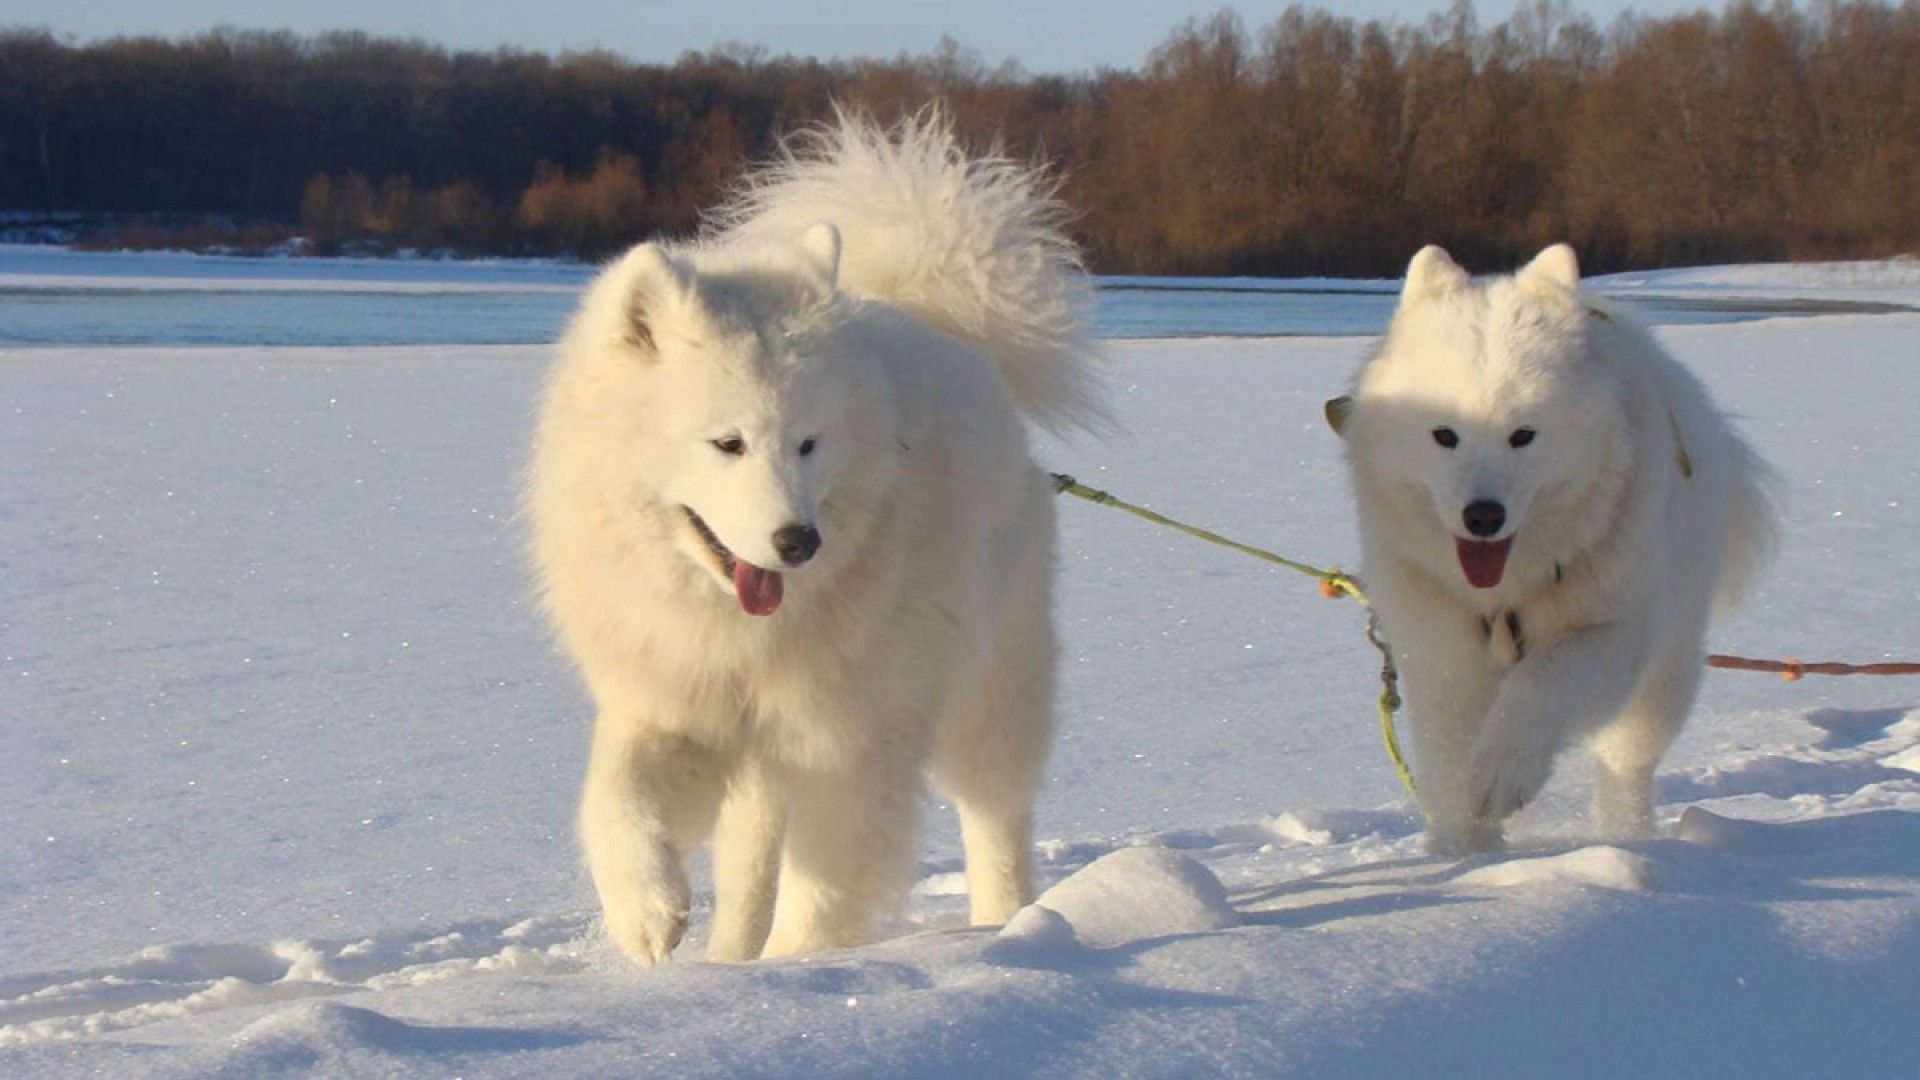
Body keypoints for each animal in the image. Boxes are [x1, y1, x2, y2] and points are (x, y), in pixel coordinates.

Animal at [526, 113, 1105, 960]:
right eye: (727, 444)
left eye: (808, 443)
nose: (799, 541)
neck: (748, 633)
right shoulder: (678, 702)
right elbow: (616, 798)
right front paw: (648, 913)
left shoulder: (851, 746)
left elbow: (822, 894)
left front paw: (798, 974)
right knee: (748, 863)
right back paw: (727, 955)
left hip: (990, 684)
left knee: (995, 814)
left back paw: (1004, 923)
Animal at [1336, 242, 1766, 849]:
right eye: (1444, 435)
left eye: (1524, 436)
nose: (1483, 516)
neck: (1505, 595)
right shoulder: (1441, 655)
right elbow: (1448, 765)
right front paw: (1463, 851)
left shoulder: (1610, 631)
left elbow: (1542, 683)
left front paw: (1502, 772)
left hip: (1666, 664)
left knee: (1626, 766)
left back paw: (1627, 837)